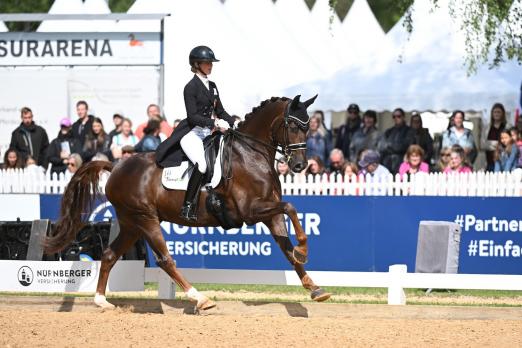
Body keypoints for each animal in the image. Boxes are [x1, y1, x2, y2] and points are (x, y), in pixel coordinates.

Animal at [43, 95, 330, 310]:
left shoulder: (270, 213)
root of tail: (116, 166)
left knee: (110, 254)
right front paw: (304, 249)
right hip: (145, 219)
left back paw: (102, 301)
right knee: (165, 260)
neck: (250, 154)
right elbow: (291, 207)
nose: (300, 165)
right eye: (292, 126)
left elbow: (286, 246)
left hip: (131, 223)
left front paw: (314, 287)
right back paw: (200, 298)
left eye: (308, 126)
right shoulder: (251, 211)